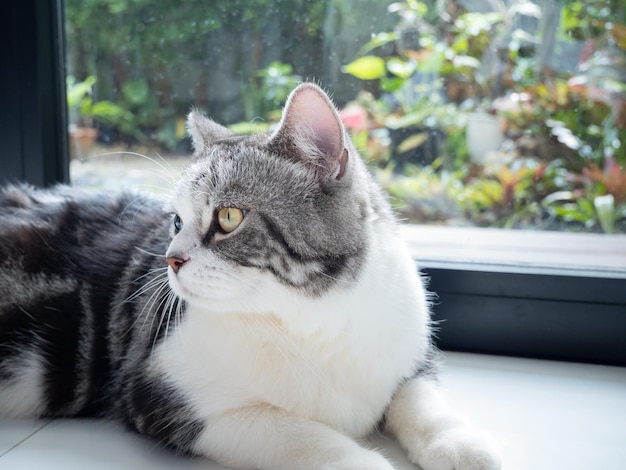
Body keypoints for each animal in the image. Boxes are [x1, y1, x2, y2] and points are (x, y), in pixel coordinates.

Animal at [0, 82, 498, 468]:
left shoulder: (410, 353)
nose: (170, 259)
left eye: (229, 217)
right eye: (176, 221)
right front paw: (361, 461)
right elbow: (300, 436)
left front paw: (461, 444)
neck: (314, 319)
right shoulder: (162, 394)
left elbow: (419, 399)